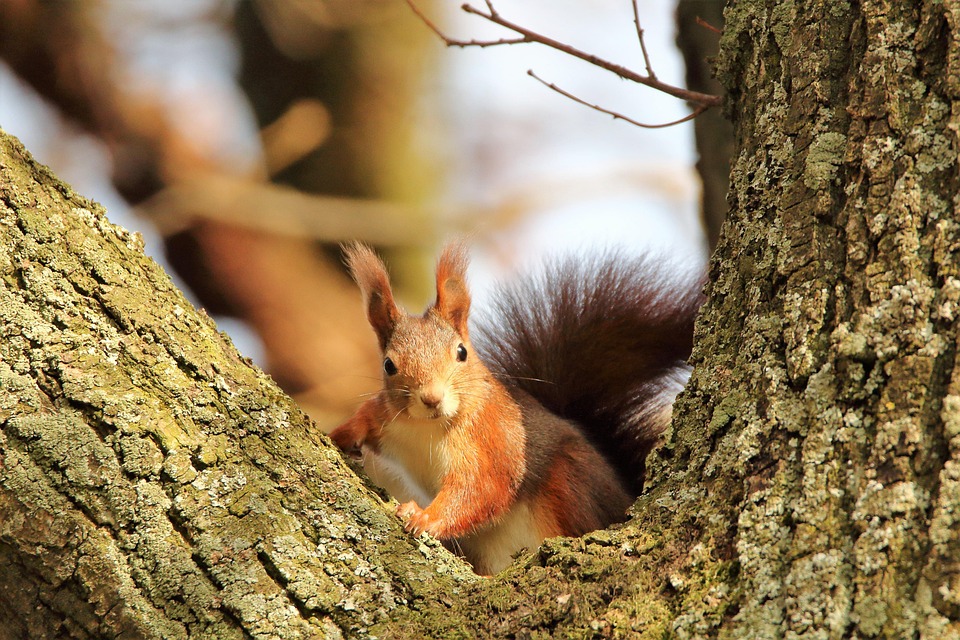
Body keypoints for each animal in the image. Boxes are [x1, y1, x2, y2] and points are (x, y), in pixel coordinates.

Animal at [329, 242, 703, 575]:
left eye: (461, 352)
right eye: (389, 365)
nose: (431, 399)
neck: (428, 427)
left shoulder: (491, 439)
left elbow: (481, 488)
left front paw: (425, 516)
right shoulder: (390, 418)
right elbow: (367, 418)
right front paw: (342, 434)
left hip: (569, 482)